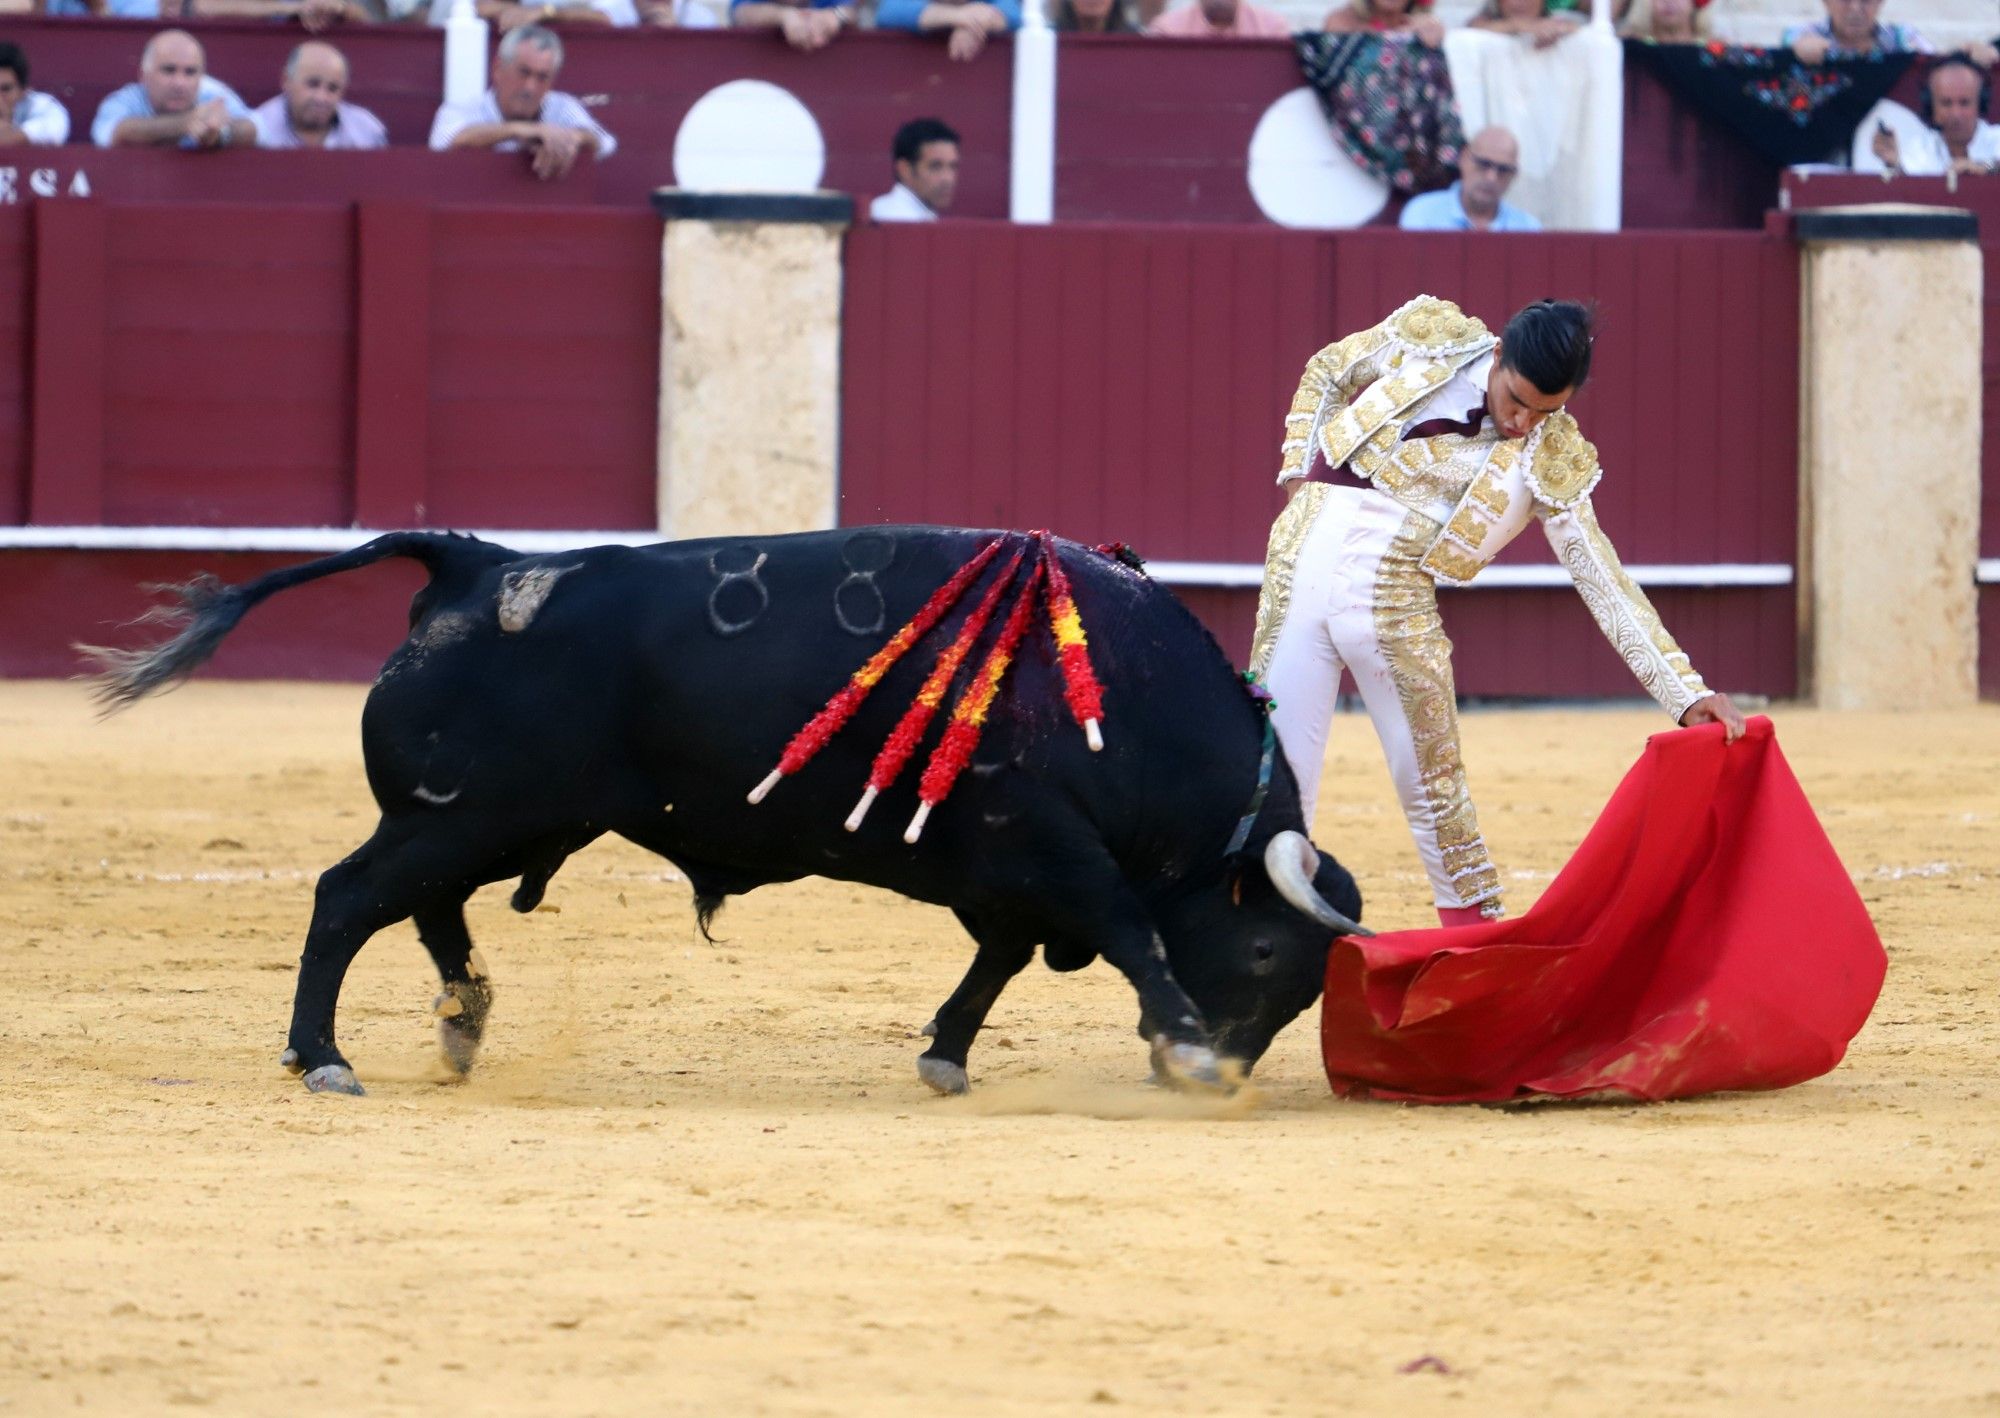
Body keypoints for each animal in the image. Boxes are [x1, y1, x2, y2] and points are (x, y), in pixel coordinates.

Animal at [97, 528, 1376, 1096]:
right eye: (1268, 949)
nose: (1228, 1065)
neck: (1125, 692)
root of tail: (476, 561)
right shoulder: (1048, 841)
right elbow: (1125, 926)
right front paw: (1179, 1037)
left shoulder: (1004, 869)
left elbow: (1003, 958)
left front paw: (944, 1053)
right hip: (460, 816)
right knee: (347, 896)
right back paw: (323, 1054)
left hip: (490, 821)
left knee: (423, 908)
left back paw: (462, 1022)